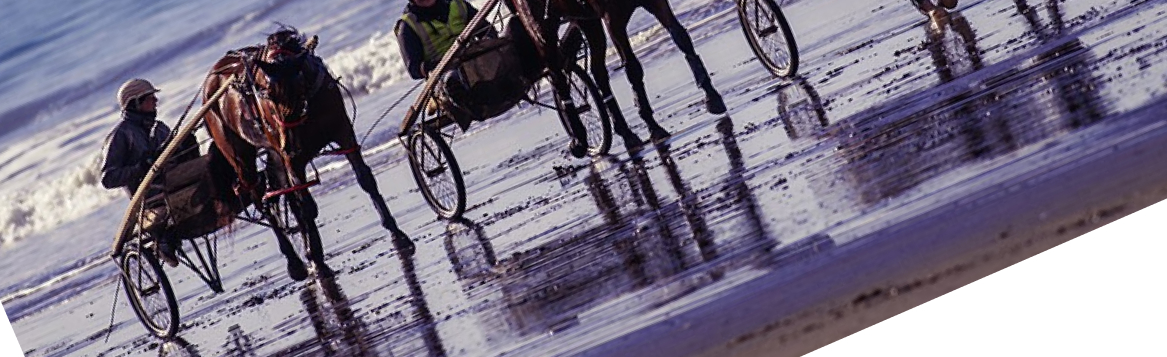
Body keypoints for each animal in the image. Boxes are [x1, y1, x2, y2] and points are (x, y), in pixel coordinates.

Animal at [204, 27, 415, 280]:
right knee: (262, 200)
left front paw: (396, 231)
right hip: (242, 157)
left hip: (275, 155)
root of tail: (212, 78)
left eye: (299, 90)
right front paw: (317, 260)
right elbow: (305, 204)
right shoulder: (291, 159)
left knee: (283, 194)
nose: (290, 145)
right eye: (267, 96)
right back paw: (294, 262)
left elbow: (365, 179)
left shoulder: (343, 132)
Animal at [506, 0, 723, 150]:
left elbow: (681, 38)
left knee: (597, 72)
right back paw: (579, 138)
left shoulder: (655, 1)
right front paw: (652, 125)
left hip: (587, 20)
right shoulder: (612, 18)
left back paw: (625, 133)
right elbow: (632, 68)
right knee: (557, 75)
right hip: (541, 26)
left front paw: (711, 96)